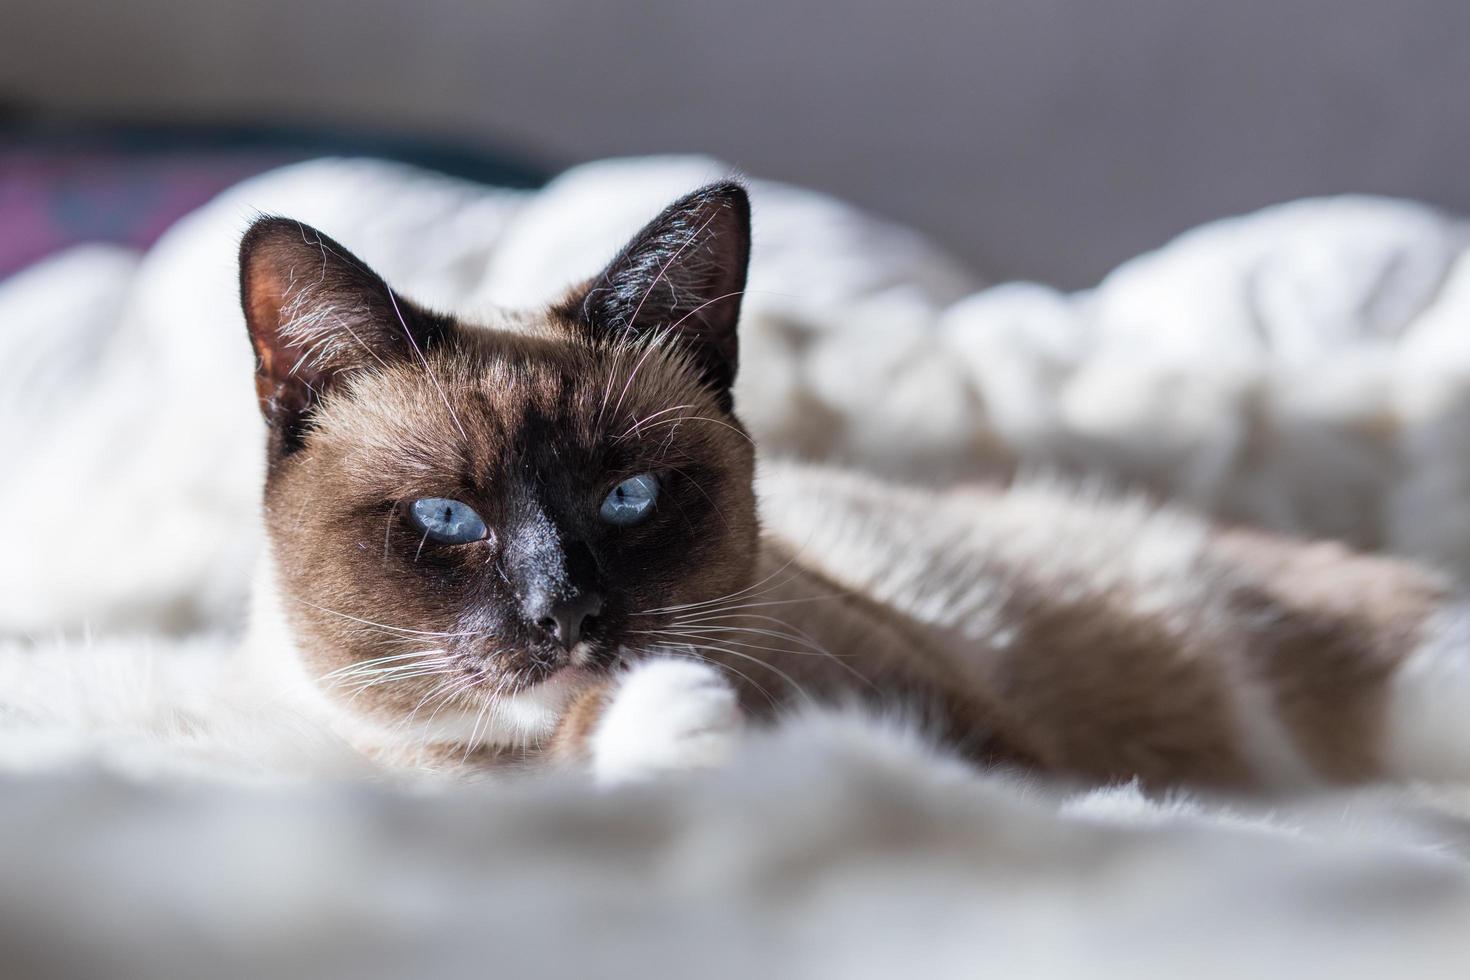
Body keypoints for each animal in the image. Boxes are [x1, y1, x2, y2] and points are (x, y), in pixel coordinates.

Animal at [238, 182, 1470, 787]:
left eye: (629, 497)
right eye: (448, 517)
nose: (569, 616)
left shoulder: (993, 751)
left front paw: (670, 711)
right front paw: (666, 722)